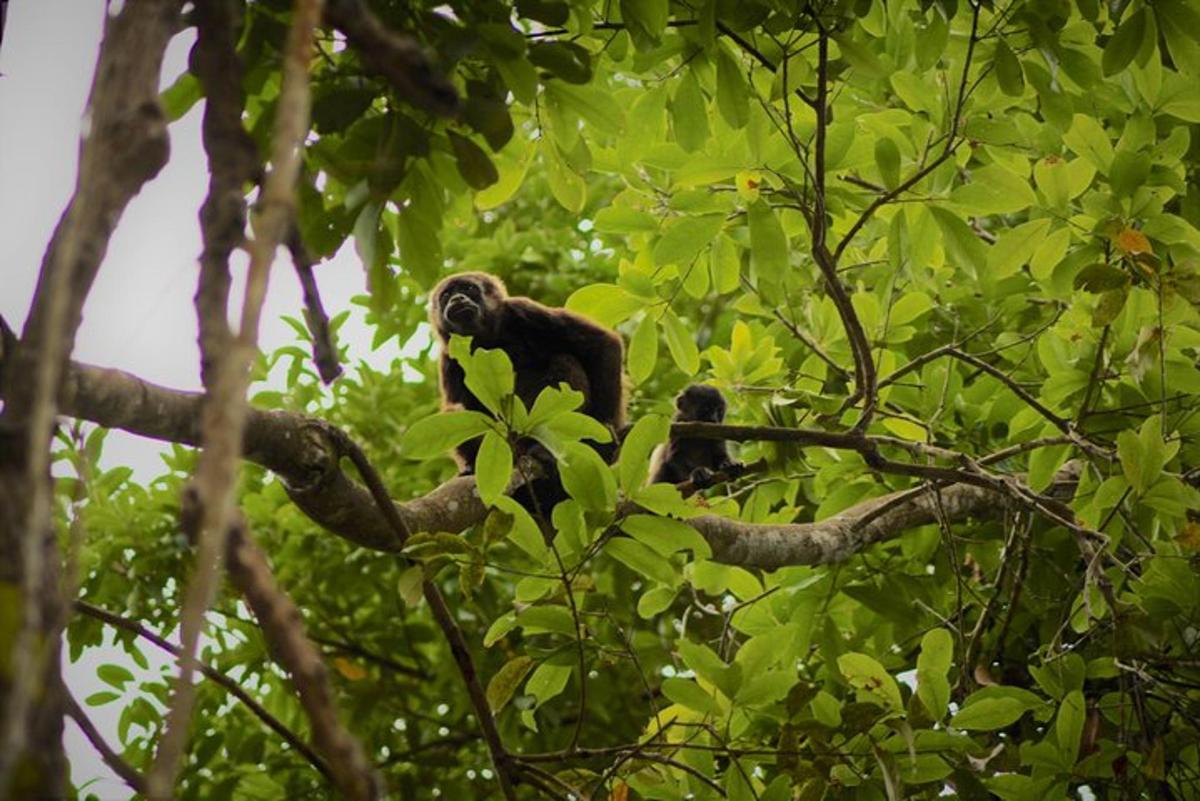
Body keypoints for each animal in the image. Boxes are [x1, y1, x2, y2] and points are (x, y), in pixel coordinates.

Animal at [427, 273, 624, 482]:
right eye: (446, 295)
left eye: (469, 289)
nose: (457, 299)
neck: (486, 340)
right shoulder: (448, 356)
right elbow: (458, 405)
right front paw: (469, 465)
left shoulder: (525, 311)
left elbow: (602, 344)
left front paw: (604, 439)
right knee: (455, 410)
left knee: (565, 360)